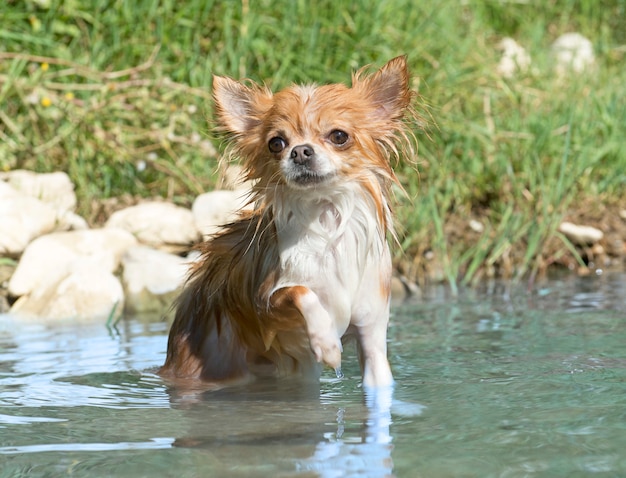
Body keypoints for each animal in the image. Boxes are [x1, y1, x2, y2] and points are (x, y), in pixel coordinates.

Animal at [160, 58, 414, 390]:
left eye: (339, 136)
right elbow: (301, 291)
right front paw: (327, 344)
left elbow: (379, 381)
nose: (300, 150)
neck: (325, 220)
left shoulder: (371, 330)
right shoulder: (266, 303)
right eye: (276, 143)